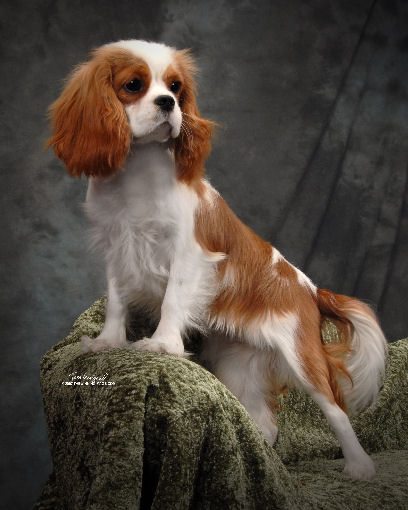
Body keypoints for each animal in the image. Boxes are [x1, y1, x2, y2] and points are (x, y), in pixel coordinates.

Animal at [46, 38, 388, 478]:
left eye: (176, 88)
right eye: (134, 85)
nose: (167, 103)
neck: (138, 169)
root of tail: (312, 290)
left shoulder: (188, 254)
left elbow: (173, 300)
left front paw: (162, 346)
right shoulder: (117, 248)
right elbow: (118, 302)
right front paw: (108, 342)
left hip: (301, 355)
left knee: (335, 410)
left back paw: (360, 466)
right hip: (236, 366)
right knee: (263, 422)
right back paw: (261, 465)